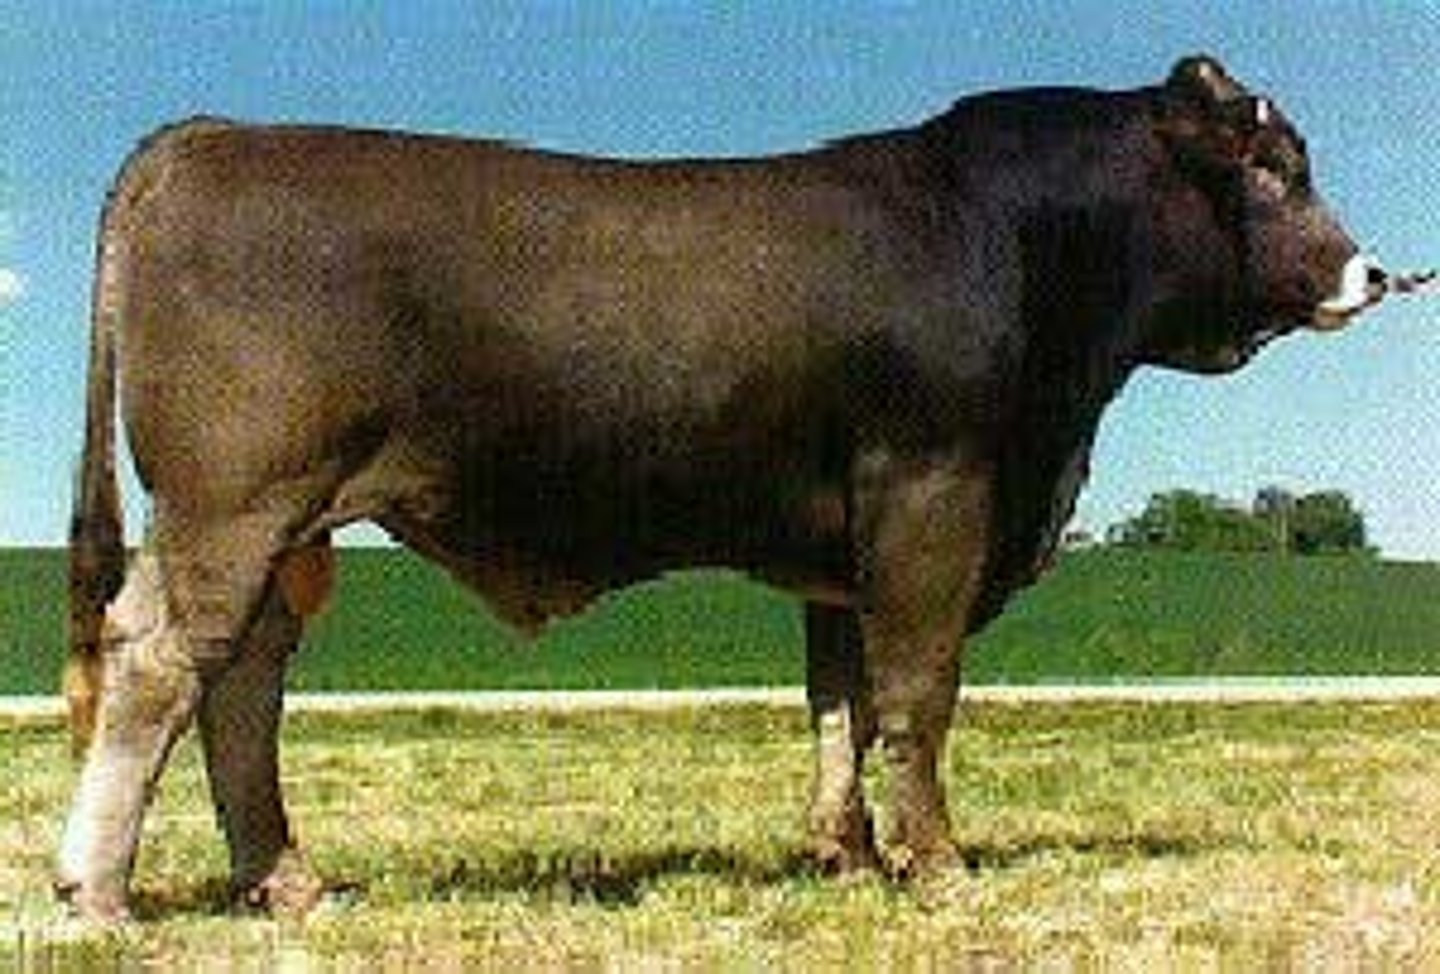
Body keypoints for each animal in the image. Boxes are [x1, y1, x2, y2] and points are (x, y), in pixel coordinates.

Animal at [59, 56, 1400, 921]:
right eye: (1276, 169)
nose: (1374, 272)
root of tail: (209, 133)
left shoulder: (844, 546)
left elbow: (838, 702)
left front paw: (847, 855)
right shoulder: (935, 489)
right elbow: (918, 690)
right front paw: (937, 862)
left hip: (285, 524)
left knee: (241, 679)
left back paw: (287, 882)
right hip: (235, 502)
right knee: (160, 665)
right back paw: (99, 892)